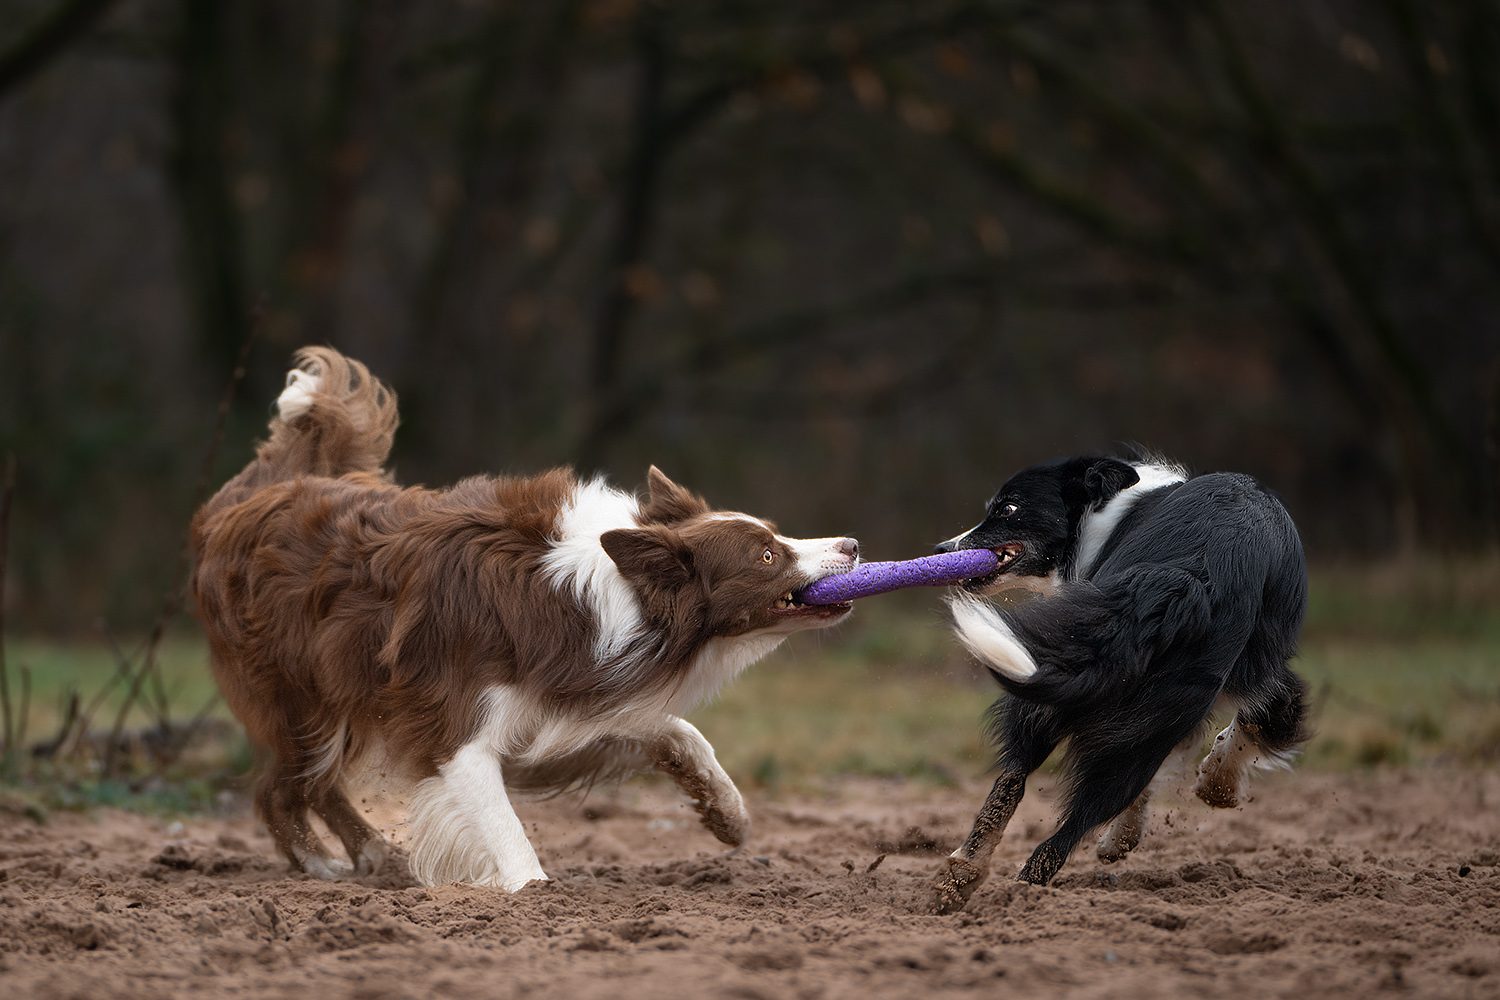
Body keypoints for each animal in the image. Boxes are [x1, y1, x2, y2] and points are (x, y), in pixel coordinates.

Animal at [193, 347, 864, 887]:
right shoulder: (457, 728)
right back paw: (326, 864)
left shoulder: (565, 704)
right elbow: (502, 825)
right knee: (281, 788)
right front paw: (534, 895)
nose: (853, 544)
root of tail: (255, 490)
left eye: (776, 534)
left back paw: (376, 857)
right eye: (767, 556)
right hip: (302, 700)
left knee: (315, 785)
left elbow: (676, 729)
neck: (603, 593)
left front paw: (727, 812)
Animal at [930, 455, 1308, 917]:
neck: (1106, 515)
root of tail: (1183, 579)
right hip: (1140, 720)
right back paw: (1016, 900)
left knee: (1015, 787)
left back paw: (963, 882)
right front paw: (1216, 786)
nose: (941, 551)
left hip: (1072, 691)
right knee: (1063, 833)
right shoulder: (1262, 673)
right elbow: (1265, 721)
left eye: (1009, 508)